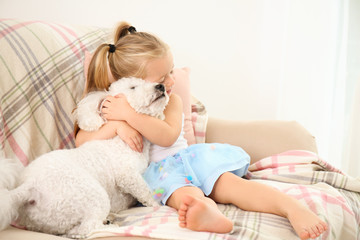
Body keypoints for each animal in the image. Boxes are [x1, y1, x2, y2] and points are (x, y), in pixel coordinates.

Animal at [0, 77, 169, 238]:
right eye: (133, 87)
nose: (161, 86)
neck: (119, 140)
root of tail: (29, 186)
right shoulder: (127, 176)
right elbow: (145, 191)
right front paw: (156, 204)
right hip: (92, 194)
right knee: (89, 228)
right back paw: (109, 225)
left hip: (49, 220)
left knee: (71, 230)